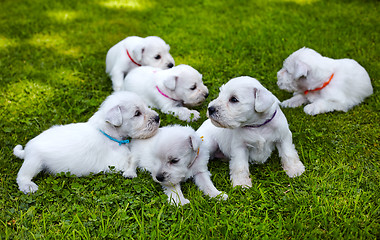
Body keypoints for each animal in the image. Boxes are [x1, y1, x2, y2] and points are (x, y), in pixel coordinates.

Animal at [13, 91, 160, 194]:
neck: (107, 132)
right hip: (35, 161)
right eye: (137, 113)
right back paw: (28, 186)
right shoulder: (115, 163)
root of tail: (26, 150)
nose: (158, 117)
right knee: (22, 175)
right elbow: (132, 160)